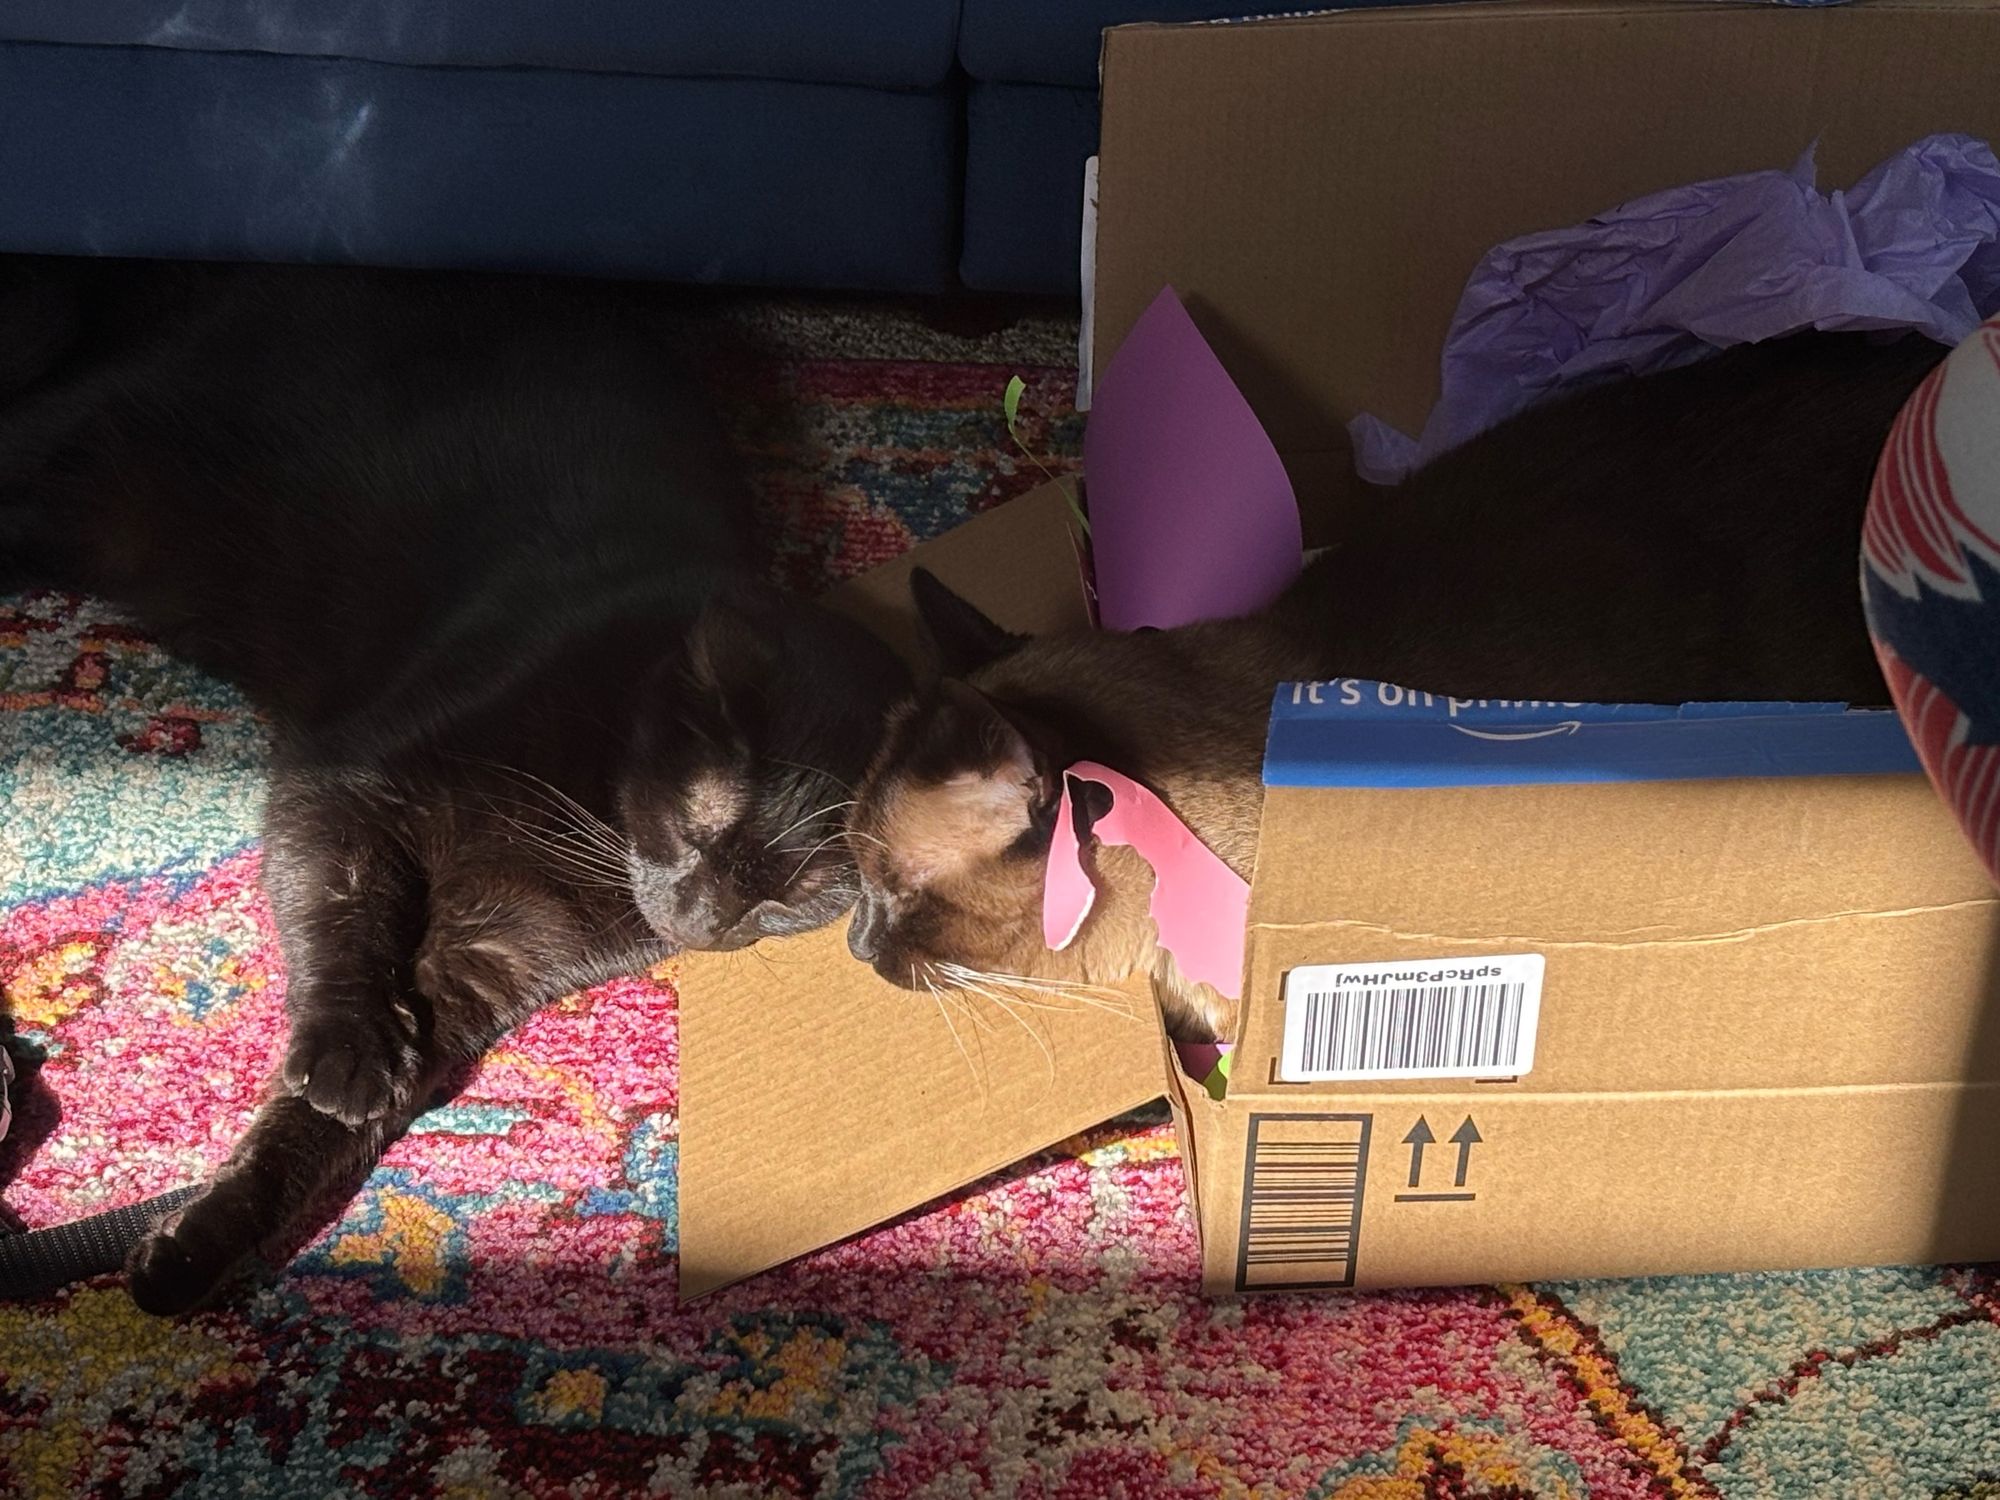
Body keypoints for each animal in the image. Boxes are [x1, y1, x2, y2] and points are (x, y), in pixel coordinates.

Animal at [0, 262, 908, 1312]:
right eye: (698, 824)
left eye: (793, 901)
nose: (704, 922)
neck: (586, 807)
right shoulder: (343, 778)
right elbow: (342, 913)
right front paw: (350, 1049)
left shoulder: (476, 970)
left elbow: (302, 1142)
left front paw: (190, 1249)